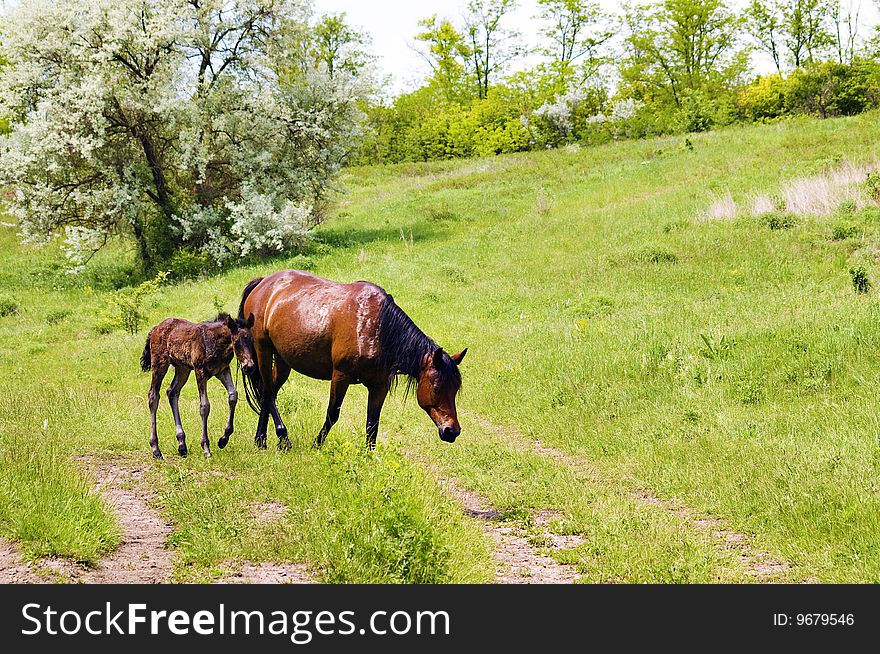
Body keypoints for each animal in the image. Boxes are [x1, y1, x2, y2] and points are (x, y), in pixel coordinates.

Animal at [141, 314, 256, 458]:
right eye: (236, 342)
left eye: (252, 341)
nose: (249, 367)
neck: (215, 342)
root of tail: (155, 328)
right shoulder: (200, 371)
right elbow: (205, 406)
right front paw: (206, 447)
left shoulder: (222, 370)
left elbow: (233, 395)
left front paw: (223, 439)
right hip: (159, 364)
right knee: (153, 396)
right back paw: (156, 449)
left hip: (182, 368)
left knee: (172, 392)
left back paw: (182, 445)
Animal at [234, 272, 468, 452]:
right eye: (437, 387)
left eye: (455, 389)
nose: (452, 431)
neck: (378, 328)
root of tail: (263, 283)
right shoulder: (341, 376)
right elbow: (332, 414)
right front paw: (316, 445)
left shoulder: (379, 385)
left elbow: (372, 423)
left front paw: (369, 457)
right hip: (263, 350)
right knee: (267, 392)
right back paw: (283, 437)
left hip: (284, 360)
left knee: (269, 392)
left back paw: (261, 440)